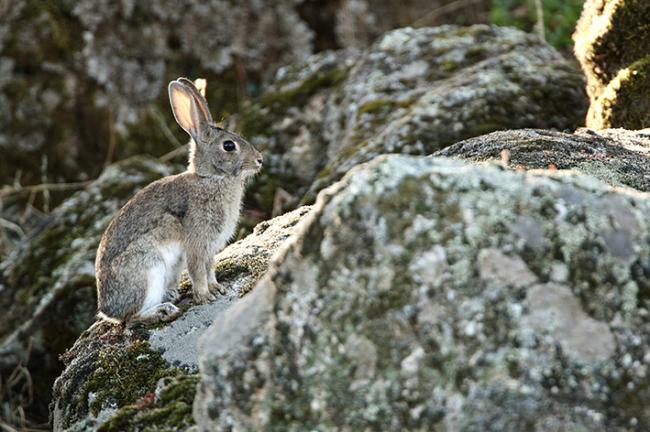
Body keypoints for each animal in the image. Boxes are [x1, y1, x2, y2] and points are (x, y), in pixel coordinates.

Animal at [94, 77, 260, 324]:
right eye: (229, 145)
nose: (260, 160)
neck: (211, 178)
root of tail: (107, 310)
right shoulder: (197, 241)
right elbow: (197, 270)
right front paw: (205, 296)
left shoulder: (210, 247)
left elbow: (209, 268)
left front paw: (217, 288)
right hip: (149, 267)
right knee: (132, 318)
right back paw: (163, 310)